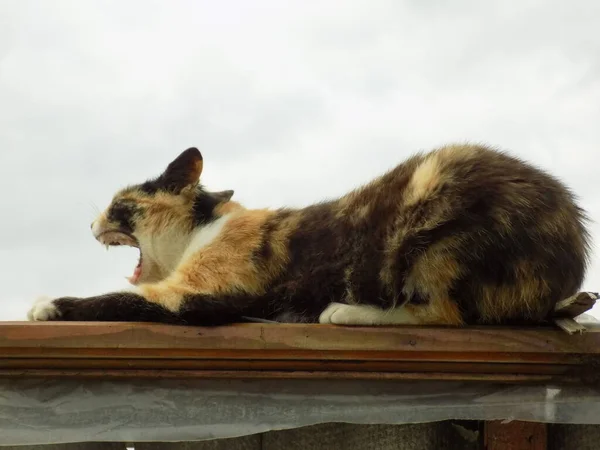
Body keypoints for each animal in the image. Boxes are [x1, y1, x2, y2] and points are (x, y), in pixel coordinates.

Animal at [27, 144, 592, 326]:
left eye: (118, 205)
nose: (90, 223)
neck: (204, 230)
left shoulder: (189, 294)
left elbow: (118, 298)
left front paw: (48, 304)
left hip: (440, 206)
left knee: (445, 314)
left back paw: (344, 311)